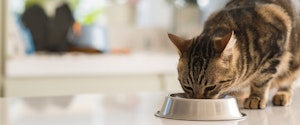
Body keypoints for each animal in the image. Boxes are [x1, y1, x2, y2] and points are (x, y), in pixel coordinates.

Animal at [169, 0, 300, 109]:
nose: (197, 101)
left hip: (294, 64)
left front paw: (256, 97)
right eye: (187, 87)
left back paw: (283, 94)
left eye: (210, 87)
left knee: (288, 81)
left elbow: (261, 79)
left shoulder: (273, 51)